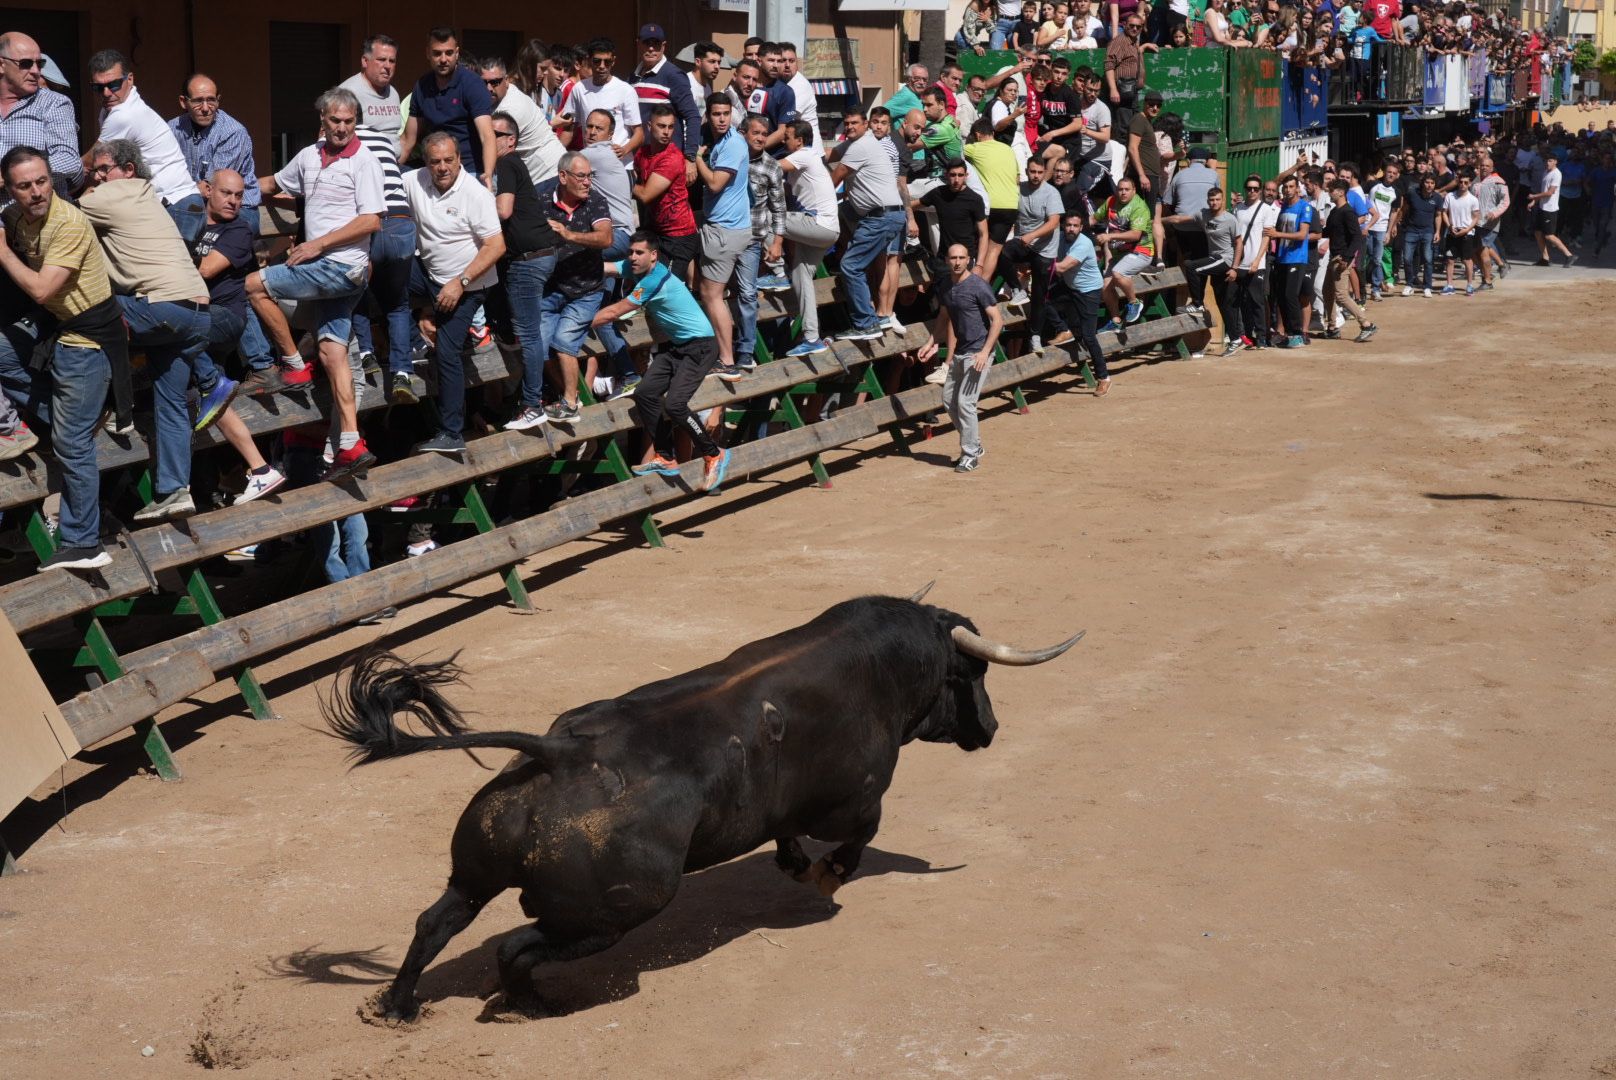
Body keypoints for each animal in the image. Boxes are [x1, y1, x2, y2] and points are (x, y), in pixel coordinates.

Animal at [321, 591, 1079, 1021]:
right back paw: (528, 1008)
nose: (991, 728)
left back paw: (396, 1008)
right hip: (612, 913)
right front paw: (825, 877)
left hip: (474, 871)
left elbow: (785, 834)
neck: (882, 669)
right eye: (971, 672)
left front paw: (796, 864)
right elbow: (858, 838)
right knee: (516, 945)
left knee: (435, 922)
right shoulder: (857, 798)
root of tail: (555, 752)